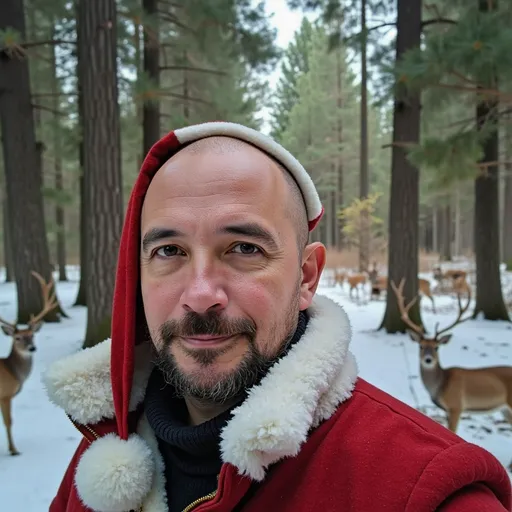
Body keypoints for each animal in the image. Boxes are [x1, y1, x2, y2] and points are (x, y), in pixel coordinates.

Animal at [0, 272, 57, 456]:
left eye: (32, 335)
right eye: (17, 338)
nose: (32, 348)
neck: (12, 371)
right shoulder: (5, 393)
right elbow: (9, 421)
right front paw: (13, 450)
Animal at [390, 280, 510, 444]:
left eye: (437, 347)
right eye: (421, 346)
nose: (428, 360)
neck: (440, 386)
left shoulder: (456, 405)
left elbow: (453, 431)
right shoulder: (448, 409)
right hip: (504, 409)